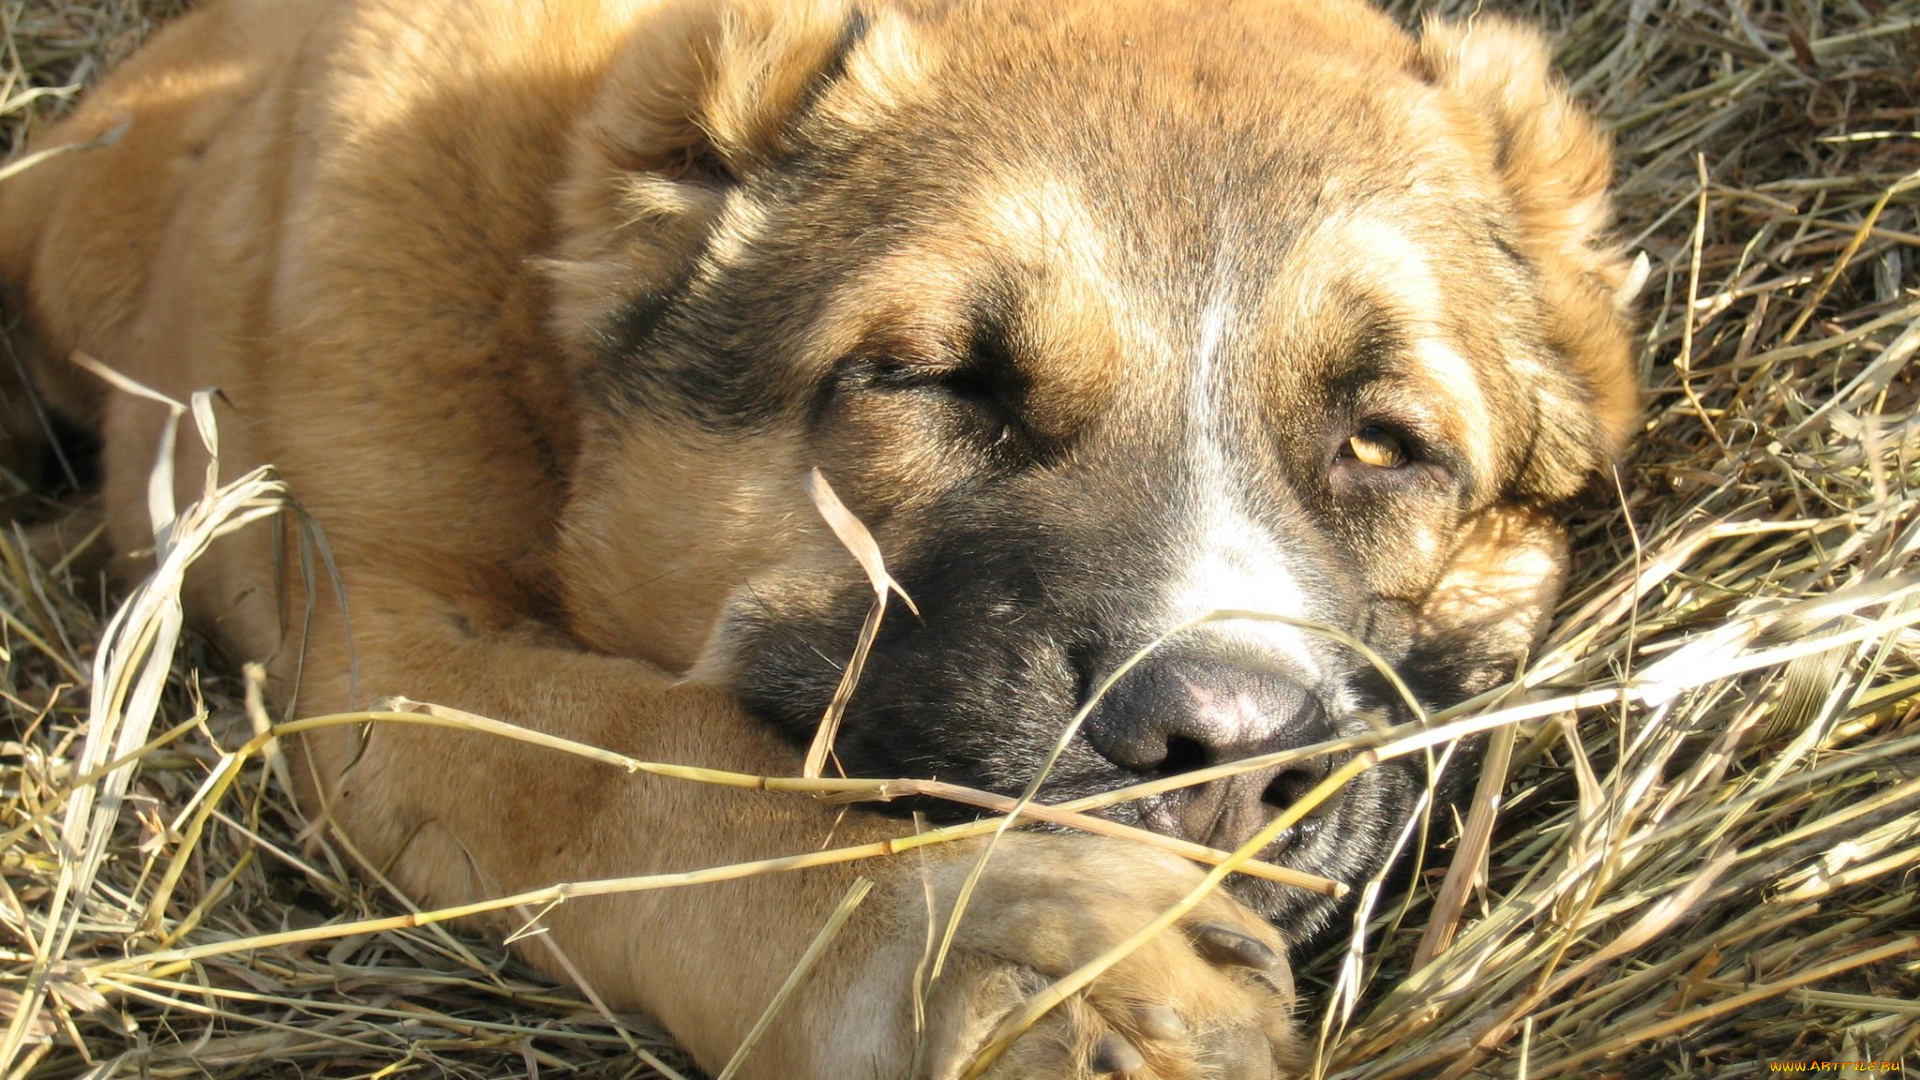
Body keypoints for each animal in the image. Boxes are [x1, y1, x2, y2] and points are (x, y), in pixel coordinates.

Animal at [0, 0, 1643, 1068]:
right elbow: (626, 773)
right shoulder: (388, 638)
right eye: (935, 380)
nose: (1226, 746)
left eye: (1384, 443)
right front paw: (986, 949)